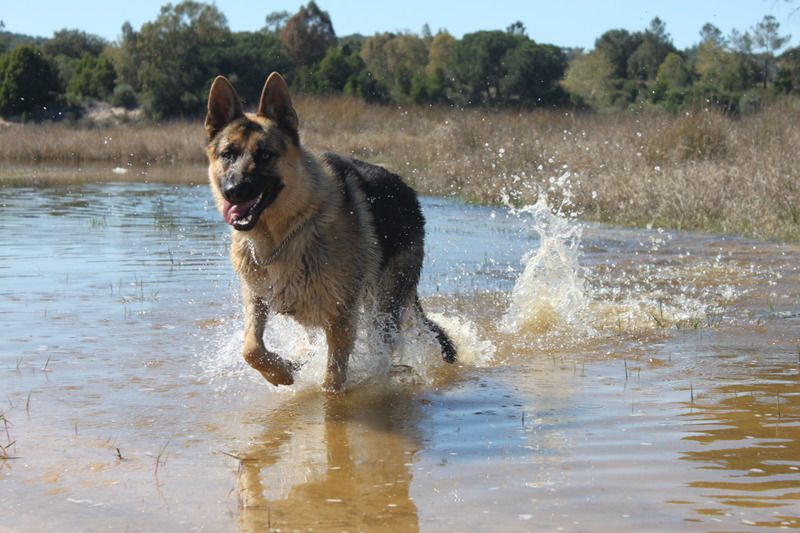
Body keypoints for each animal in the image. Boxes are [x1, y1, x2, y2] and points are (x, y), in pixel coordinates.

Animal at [204, 72, 456, 391]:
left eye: (264, 155)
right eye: (228, 154)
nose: (233, 191)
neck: (284, 235)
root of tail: (409, 193)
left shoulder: (340, 320)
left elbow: (333, 382)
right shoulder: (257, 296)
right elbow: (251, 348)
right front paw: (281, 372)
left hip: (383, 308)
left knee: (381, 348)